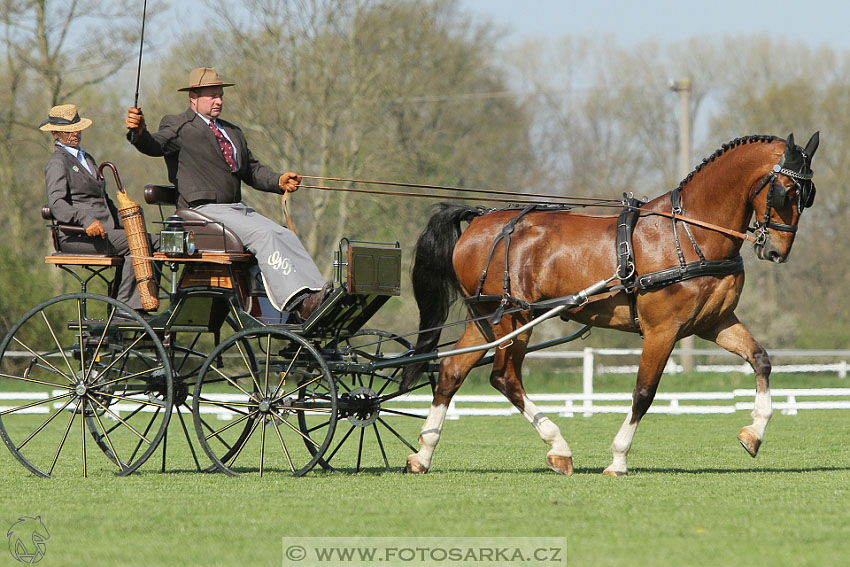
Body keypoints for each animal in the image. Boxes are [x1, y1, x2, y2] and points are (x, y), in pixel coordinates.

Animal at [400, 132, 820, 474]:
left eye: (807, 195)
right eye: (786, 191)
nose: (777, 251)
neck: (688, 231)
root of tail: (479, 220)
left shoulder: (714, 323)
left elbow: (761, 359)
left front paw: (754, 432)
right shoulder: (662, 331)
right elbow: (644, 393)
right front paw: (618, 458)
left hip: (487, 318)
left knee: (452, 371)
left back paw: (424, 454)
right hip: (513, 319)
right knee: (504, 377)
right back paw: (559, 447)